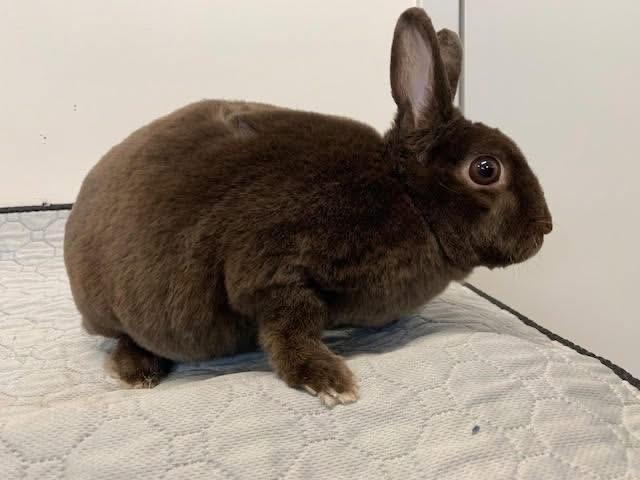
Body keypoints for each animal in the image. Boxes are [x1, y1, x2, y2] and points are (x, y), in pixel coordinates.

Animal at [64, 7, 552, 407]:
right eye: (486, 169)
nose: (545, 227)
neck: (407, 195)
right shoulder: (275, 270)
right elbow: (289, 328)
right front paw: (330, 381)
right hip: (120, 308)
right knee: (125, 337)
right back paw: (137, 372)